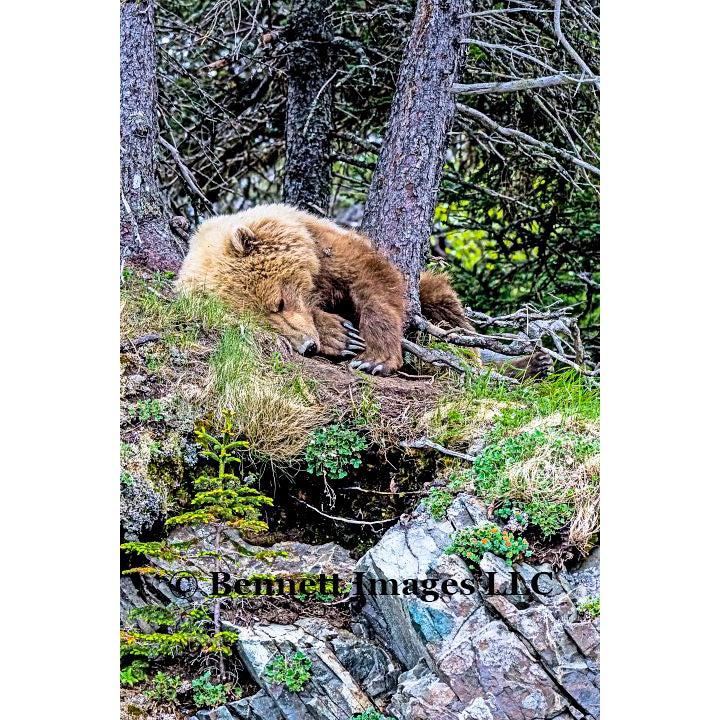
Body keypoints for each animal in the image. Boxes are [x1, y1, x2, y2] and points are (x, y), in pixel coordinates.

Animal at [177, 204, 549, 378]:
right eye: (263, 323)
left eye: (278, 302)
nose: (307, 347)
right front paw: (338, 335)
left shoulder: (326, 248)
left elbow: (373, 280)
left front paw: (374, 357)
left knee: (447, 319)